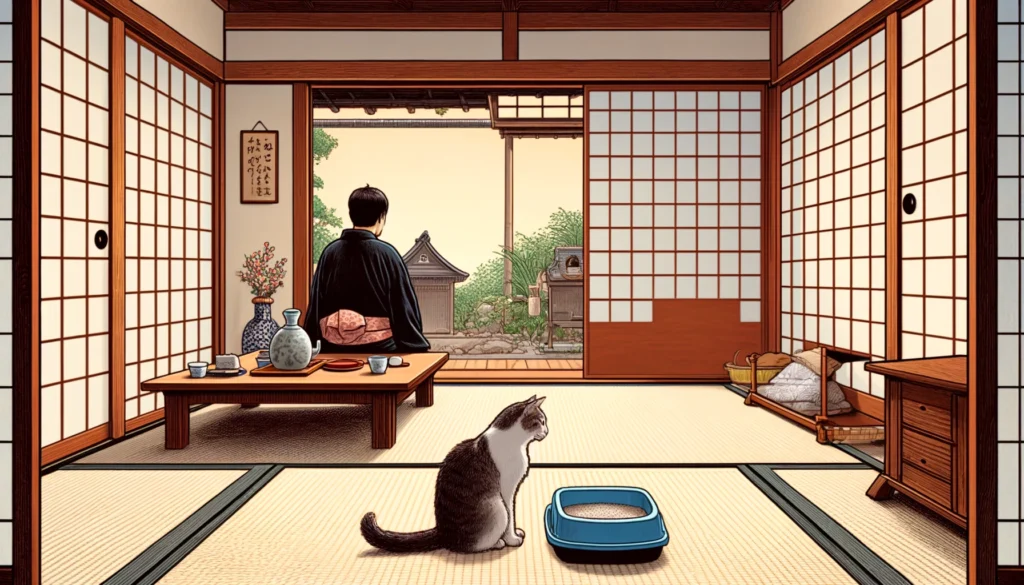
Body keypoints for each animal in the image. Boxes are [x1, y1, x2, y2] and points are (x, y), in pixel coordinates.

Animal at [362, 393, 552, 553]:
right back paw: (497, 543)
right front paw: (513, 539)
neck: (516, 442)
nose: (547, 432)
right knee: (475, 544)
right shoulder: (507, 491)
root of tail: (442, 533)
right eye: (542, 422)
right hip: (496, 507)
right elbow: (511, 517)